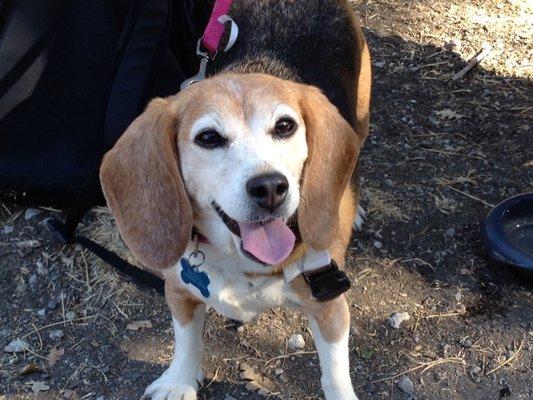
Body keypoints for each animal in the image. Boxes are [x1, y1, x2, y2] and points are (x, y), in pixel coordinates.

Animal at [98, 1, 370, 398]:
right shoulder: (178, 287)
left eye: (285, 126)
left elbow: (335, 373)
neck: (241, 260)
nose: (271, 187)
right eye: (208, 138)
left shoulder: (329, 301)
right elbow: (186, 340)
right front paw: (179, 380)